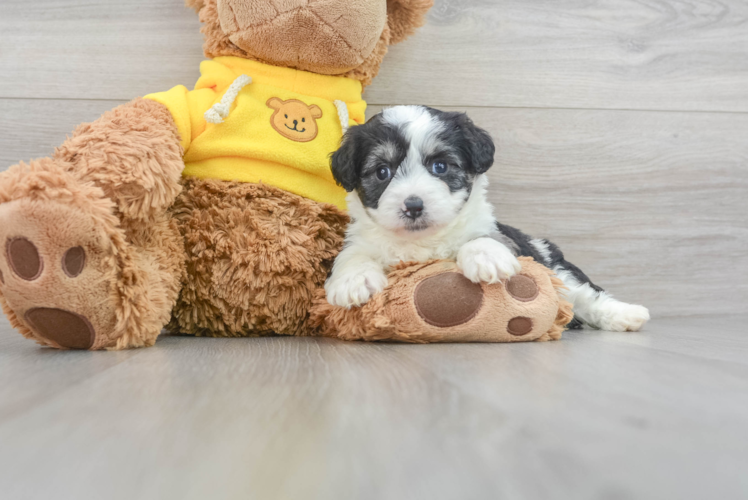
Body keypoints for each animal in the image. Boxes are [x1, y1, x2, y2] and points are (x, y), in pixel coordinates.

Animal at [328, 105, 648, 332]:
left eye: (440, 166)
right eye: (382, 172)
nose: (413, 206)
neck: (423, 242)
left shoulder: (502, 237)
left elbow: (484, 237)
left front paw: (486, 257)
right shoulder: (362, 239)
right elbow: (354, 254)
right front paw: (353, 281)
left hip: (559, 271)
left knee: (589, 297)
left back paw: (627, 315)